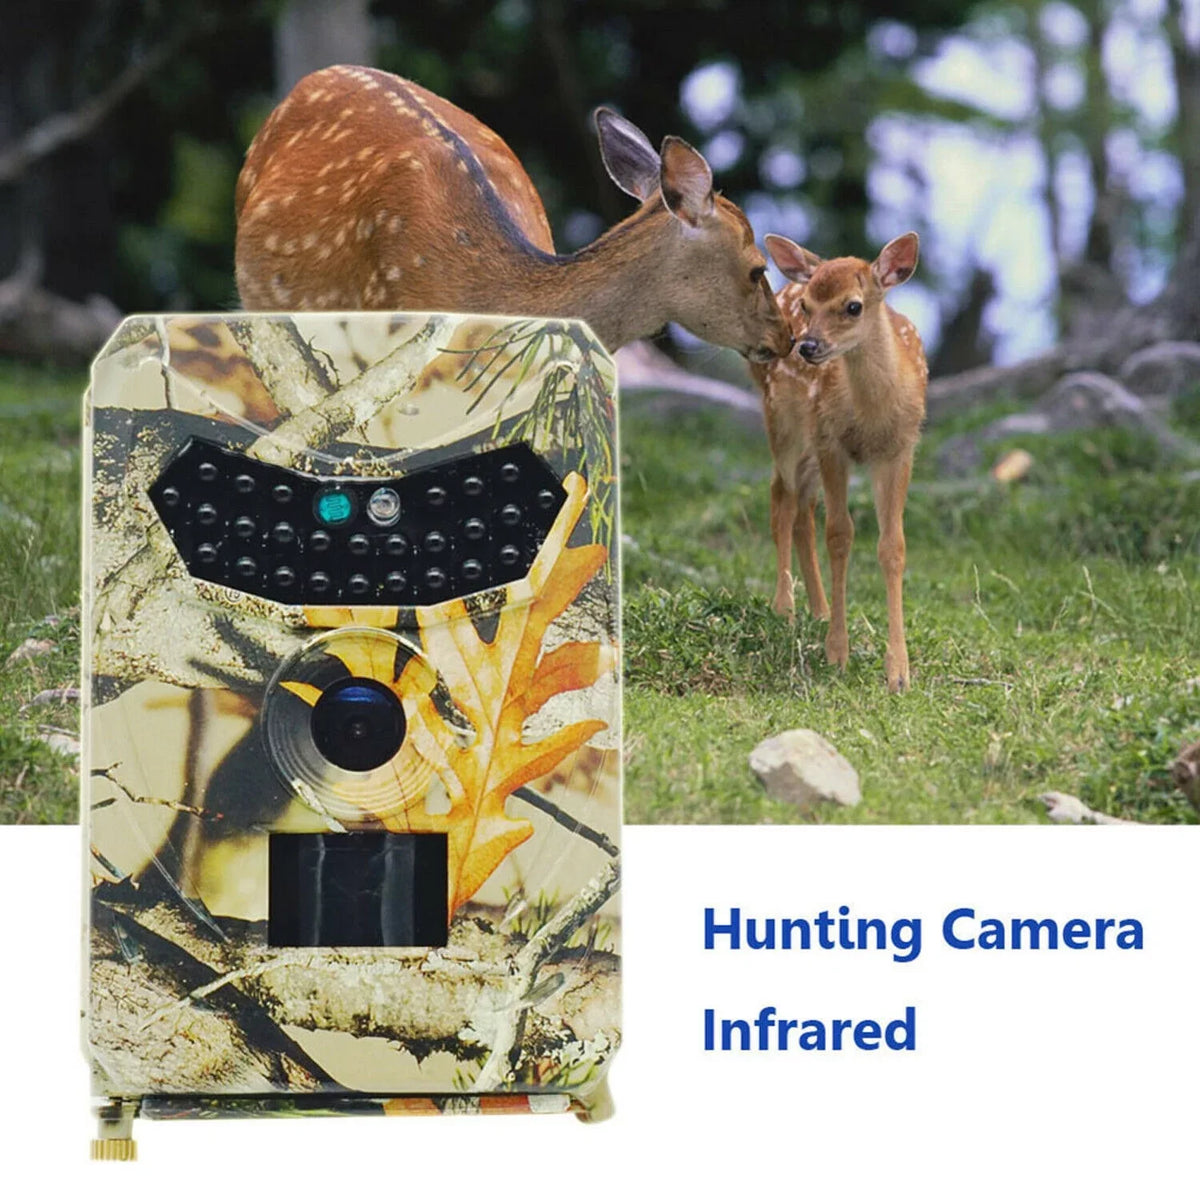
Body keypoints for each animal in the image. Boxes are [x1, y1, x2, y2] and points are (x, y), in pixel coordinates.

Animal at [749, 232, 927, 693]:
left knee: (802, 510)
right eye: (807, 305)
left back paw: (820, 608)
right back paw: (785, 607)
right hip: (783, 421)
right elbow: (840, 536)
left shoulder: (901, 448)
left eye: (853, 306)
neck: (871, 415)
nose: (807, 346)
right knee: (782, 500)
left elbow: (893, 546)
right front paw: (837, 653)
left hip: (808, 446)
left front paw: (898, 672)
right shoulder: (832, 442)